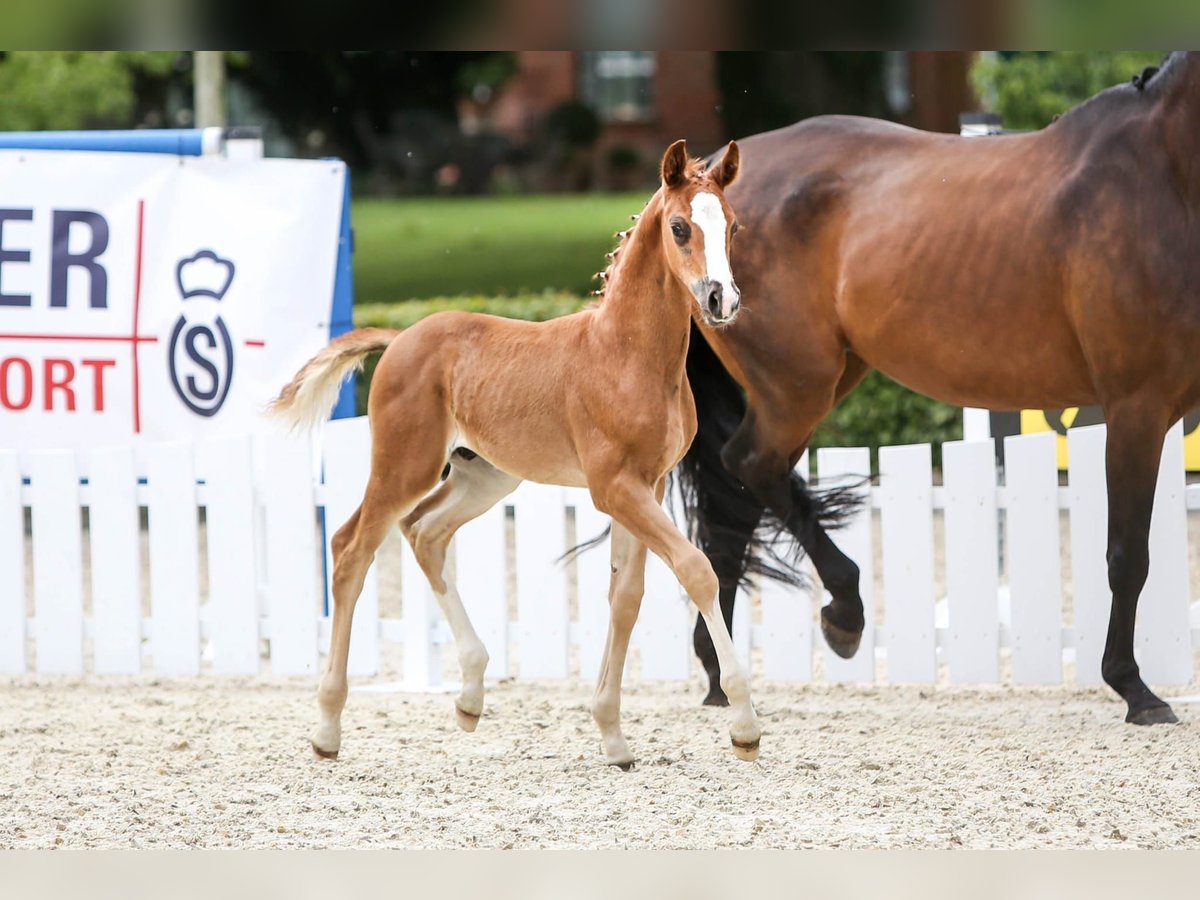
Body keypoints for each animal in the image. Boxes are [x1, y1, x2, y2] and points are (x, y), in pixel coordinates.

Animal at [272, 139, 758, 768]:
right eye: (679, 227)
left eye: (733, 226)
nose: (723, 300)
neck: (627, 354)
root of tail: (399, 337)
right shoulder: (614, 488)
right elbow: (698, 571)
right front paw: (744, 726)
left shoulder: (646, 485)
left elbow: (626, 595)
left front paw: (613, 736)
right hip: (406, 465)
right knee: (352, 547)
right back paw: (328, 728)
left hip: (485, 477)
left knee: (425, 532)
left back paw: (470, 695)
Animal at [686, 52, 1200, 724]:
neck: (1168, 174)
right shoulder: (1137, 405)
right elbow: (1128, 553)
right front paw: (1135, 689)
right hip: (797, 384)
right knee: (753, 467)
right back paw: (842, 614)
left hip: (816, 381)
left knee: (740, 492)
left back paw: (720, 674)